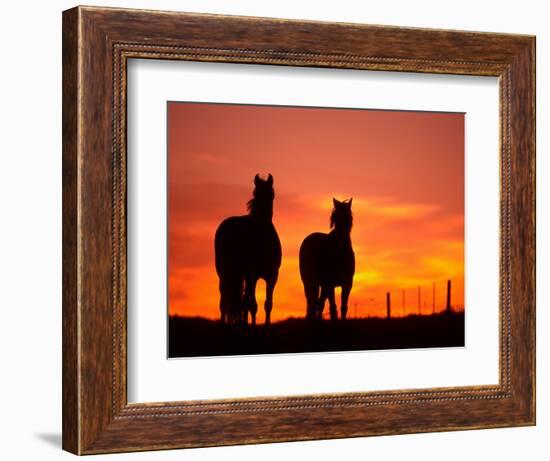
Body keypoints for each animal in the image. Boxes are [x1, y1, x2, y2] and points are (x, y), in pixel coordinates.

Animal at [216, 174, 284, 326]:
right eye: (256, 194)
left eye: (272, 195)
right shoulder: (252, 275)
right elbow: (252, 305)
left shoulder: (272, 276)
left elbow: (267, 304)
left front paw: (266, 325)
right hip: (225, 274)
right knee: (225, 302)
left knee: (241, 301)